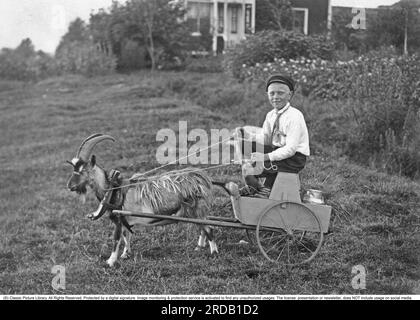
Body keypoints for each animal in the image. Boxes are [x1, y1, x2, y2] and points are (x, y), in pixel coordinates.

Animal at [66, 134, 230, 266]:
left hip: (199, 207)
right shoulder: (125, 219)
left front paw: (110, 261)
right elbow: (126, 236)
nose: (69, 186)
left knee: (209, 228)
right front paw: (125, 254)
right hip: (193, 211)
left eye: (83, 170)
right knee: (202, 226)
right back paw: (199, 247)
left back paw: (214, 252)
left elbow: (116, 239)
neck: (113, 189)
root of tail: (203, 177)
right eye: (74, 169)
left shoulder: (118, 219)